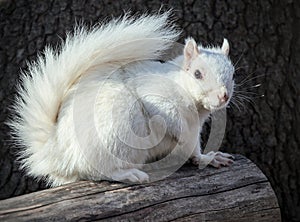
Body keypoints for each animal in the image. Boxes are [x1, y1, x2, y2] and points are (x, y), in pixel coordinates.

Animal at [9, 12, 236, 186]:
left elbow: (193, 149)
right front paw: (187, 143)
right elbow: (173, 124)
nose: (223, 95)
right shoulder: (158, 97)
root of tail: (57, 152)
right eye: (197, 74)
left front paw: (210, 158)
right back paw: (129, 174)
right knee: (99, 171)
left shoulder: (195, 126)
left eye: (233, 73)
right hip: (116, 131)